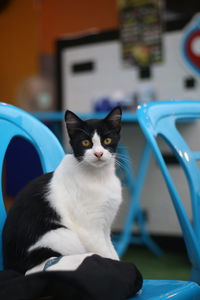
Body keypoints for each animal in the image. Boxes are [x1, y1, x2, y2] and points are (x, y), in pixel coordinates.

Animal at [2, 106, 122, 276]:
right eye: (85, 142)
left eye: (107, 141)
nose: (98, 154)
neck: (99, 178)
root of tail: (10, 264)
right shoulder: (89, 230)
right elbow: (105, 253)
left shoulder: (105, 226)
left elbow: (112, 251)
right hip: (63, 235)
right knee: (35, 269)